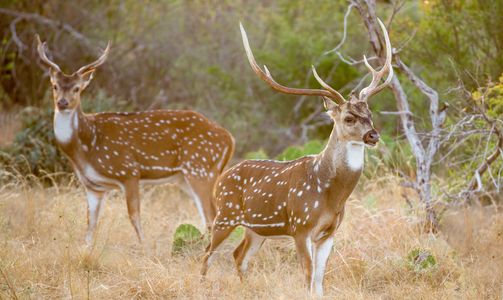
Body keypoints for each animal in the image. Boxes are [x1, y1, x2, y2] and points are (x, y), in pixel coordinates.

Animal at [36, 35, 235, 246]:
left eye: (77, 88)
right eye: (55, 86)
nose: (62, 102)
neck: (86, 147)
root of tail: (229, 139)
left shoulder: (128, 171)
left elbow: (134, 216)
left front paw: (143, 246)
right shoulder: (93, 186)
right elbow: (90, 224)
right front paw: (86, 248)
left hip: (201, 169)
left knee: (212, 216)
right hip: (185, 178)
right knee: (211, 216)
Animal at [201, 19, 394, 296]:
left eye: (369, 114)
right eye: (349, 118)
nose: (373, 135)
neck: (331, 195)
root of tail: (220, 178)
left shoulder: (329, 232)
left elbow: (320, 279)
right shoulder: (301, 226)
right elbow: (308, 275)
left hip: (256, 229)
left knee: (239, 256)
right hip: (225, 214)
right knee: (207, 254)